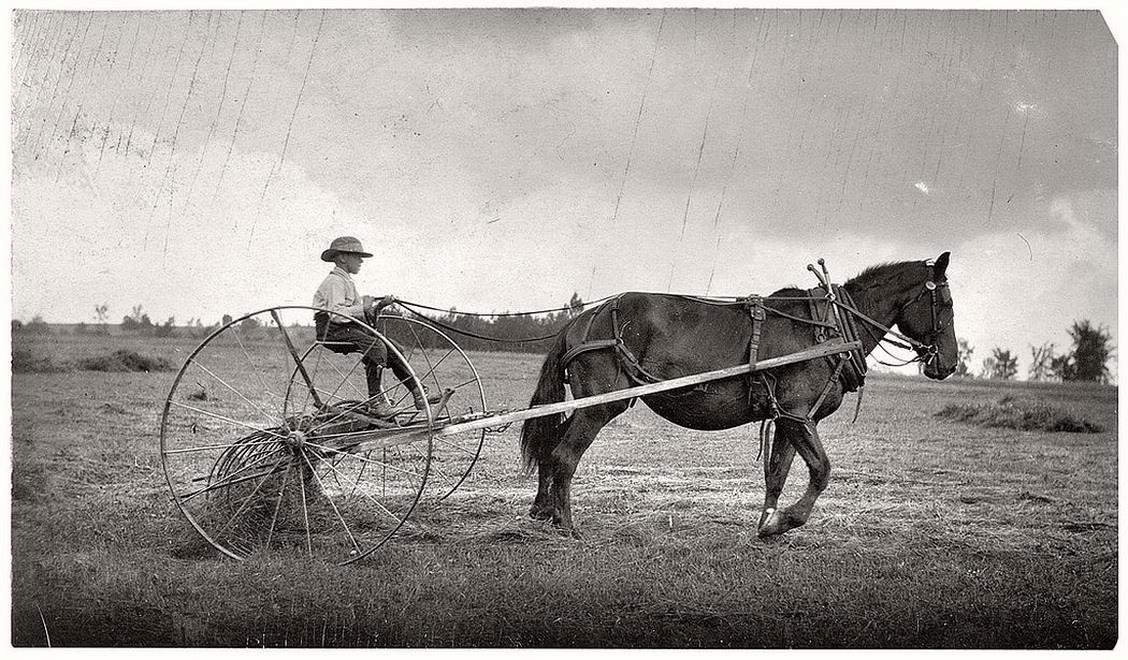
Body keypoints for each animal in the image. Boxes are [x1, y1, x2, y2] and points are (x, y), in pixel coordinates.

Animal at [520, 252, 957, 537]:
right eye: (947, 304)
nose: (949, 364)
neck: (829, 329)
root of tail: (581, 319)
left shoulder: (789, 418)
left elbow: (777, 475)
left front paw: (766, 524)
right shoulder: (798, 414)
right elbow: (821, 471)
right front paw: (785, 522)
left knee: (551, 446)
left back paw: (544, 510)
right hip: (599, 406)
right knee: (564, 455)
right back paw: (567, 525)